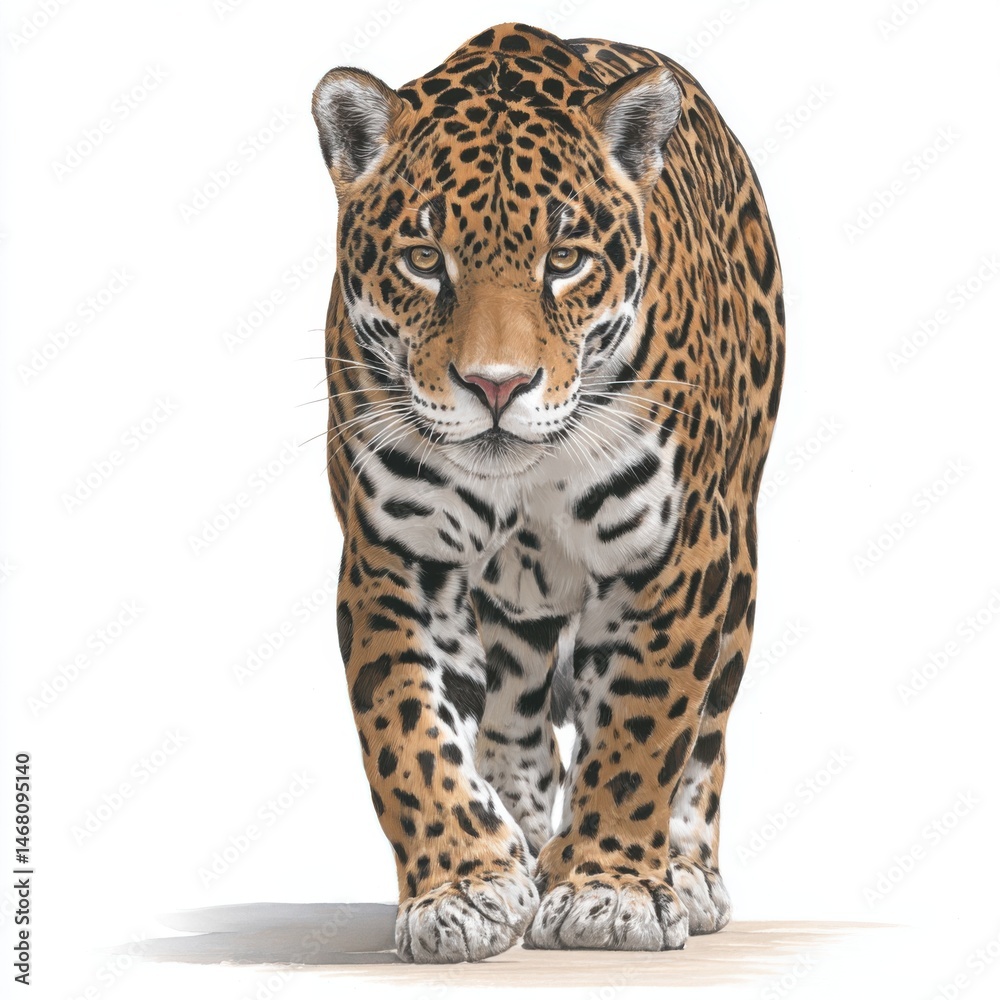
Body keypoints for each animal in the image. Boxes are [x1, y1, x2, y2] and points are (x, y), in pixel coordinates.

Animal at [310, 22, 784, 963]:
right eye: (424, 260)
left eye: (563, 261)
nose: (496, 385)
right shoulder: (393, 558)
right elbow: (404, 729)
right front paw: (463, 886)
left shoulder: (676, 556)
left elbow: (644, 724)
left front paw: (609, 889)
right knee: (518, 709)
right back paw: (525, 833)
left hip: (739, 568)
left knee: (705, 730)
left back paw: (684, 872)